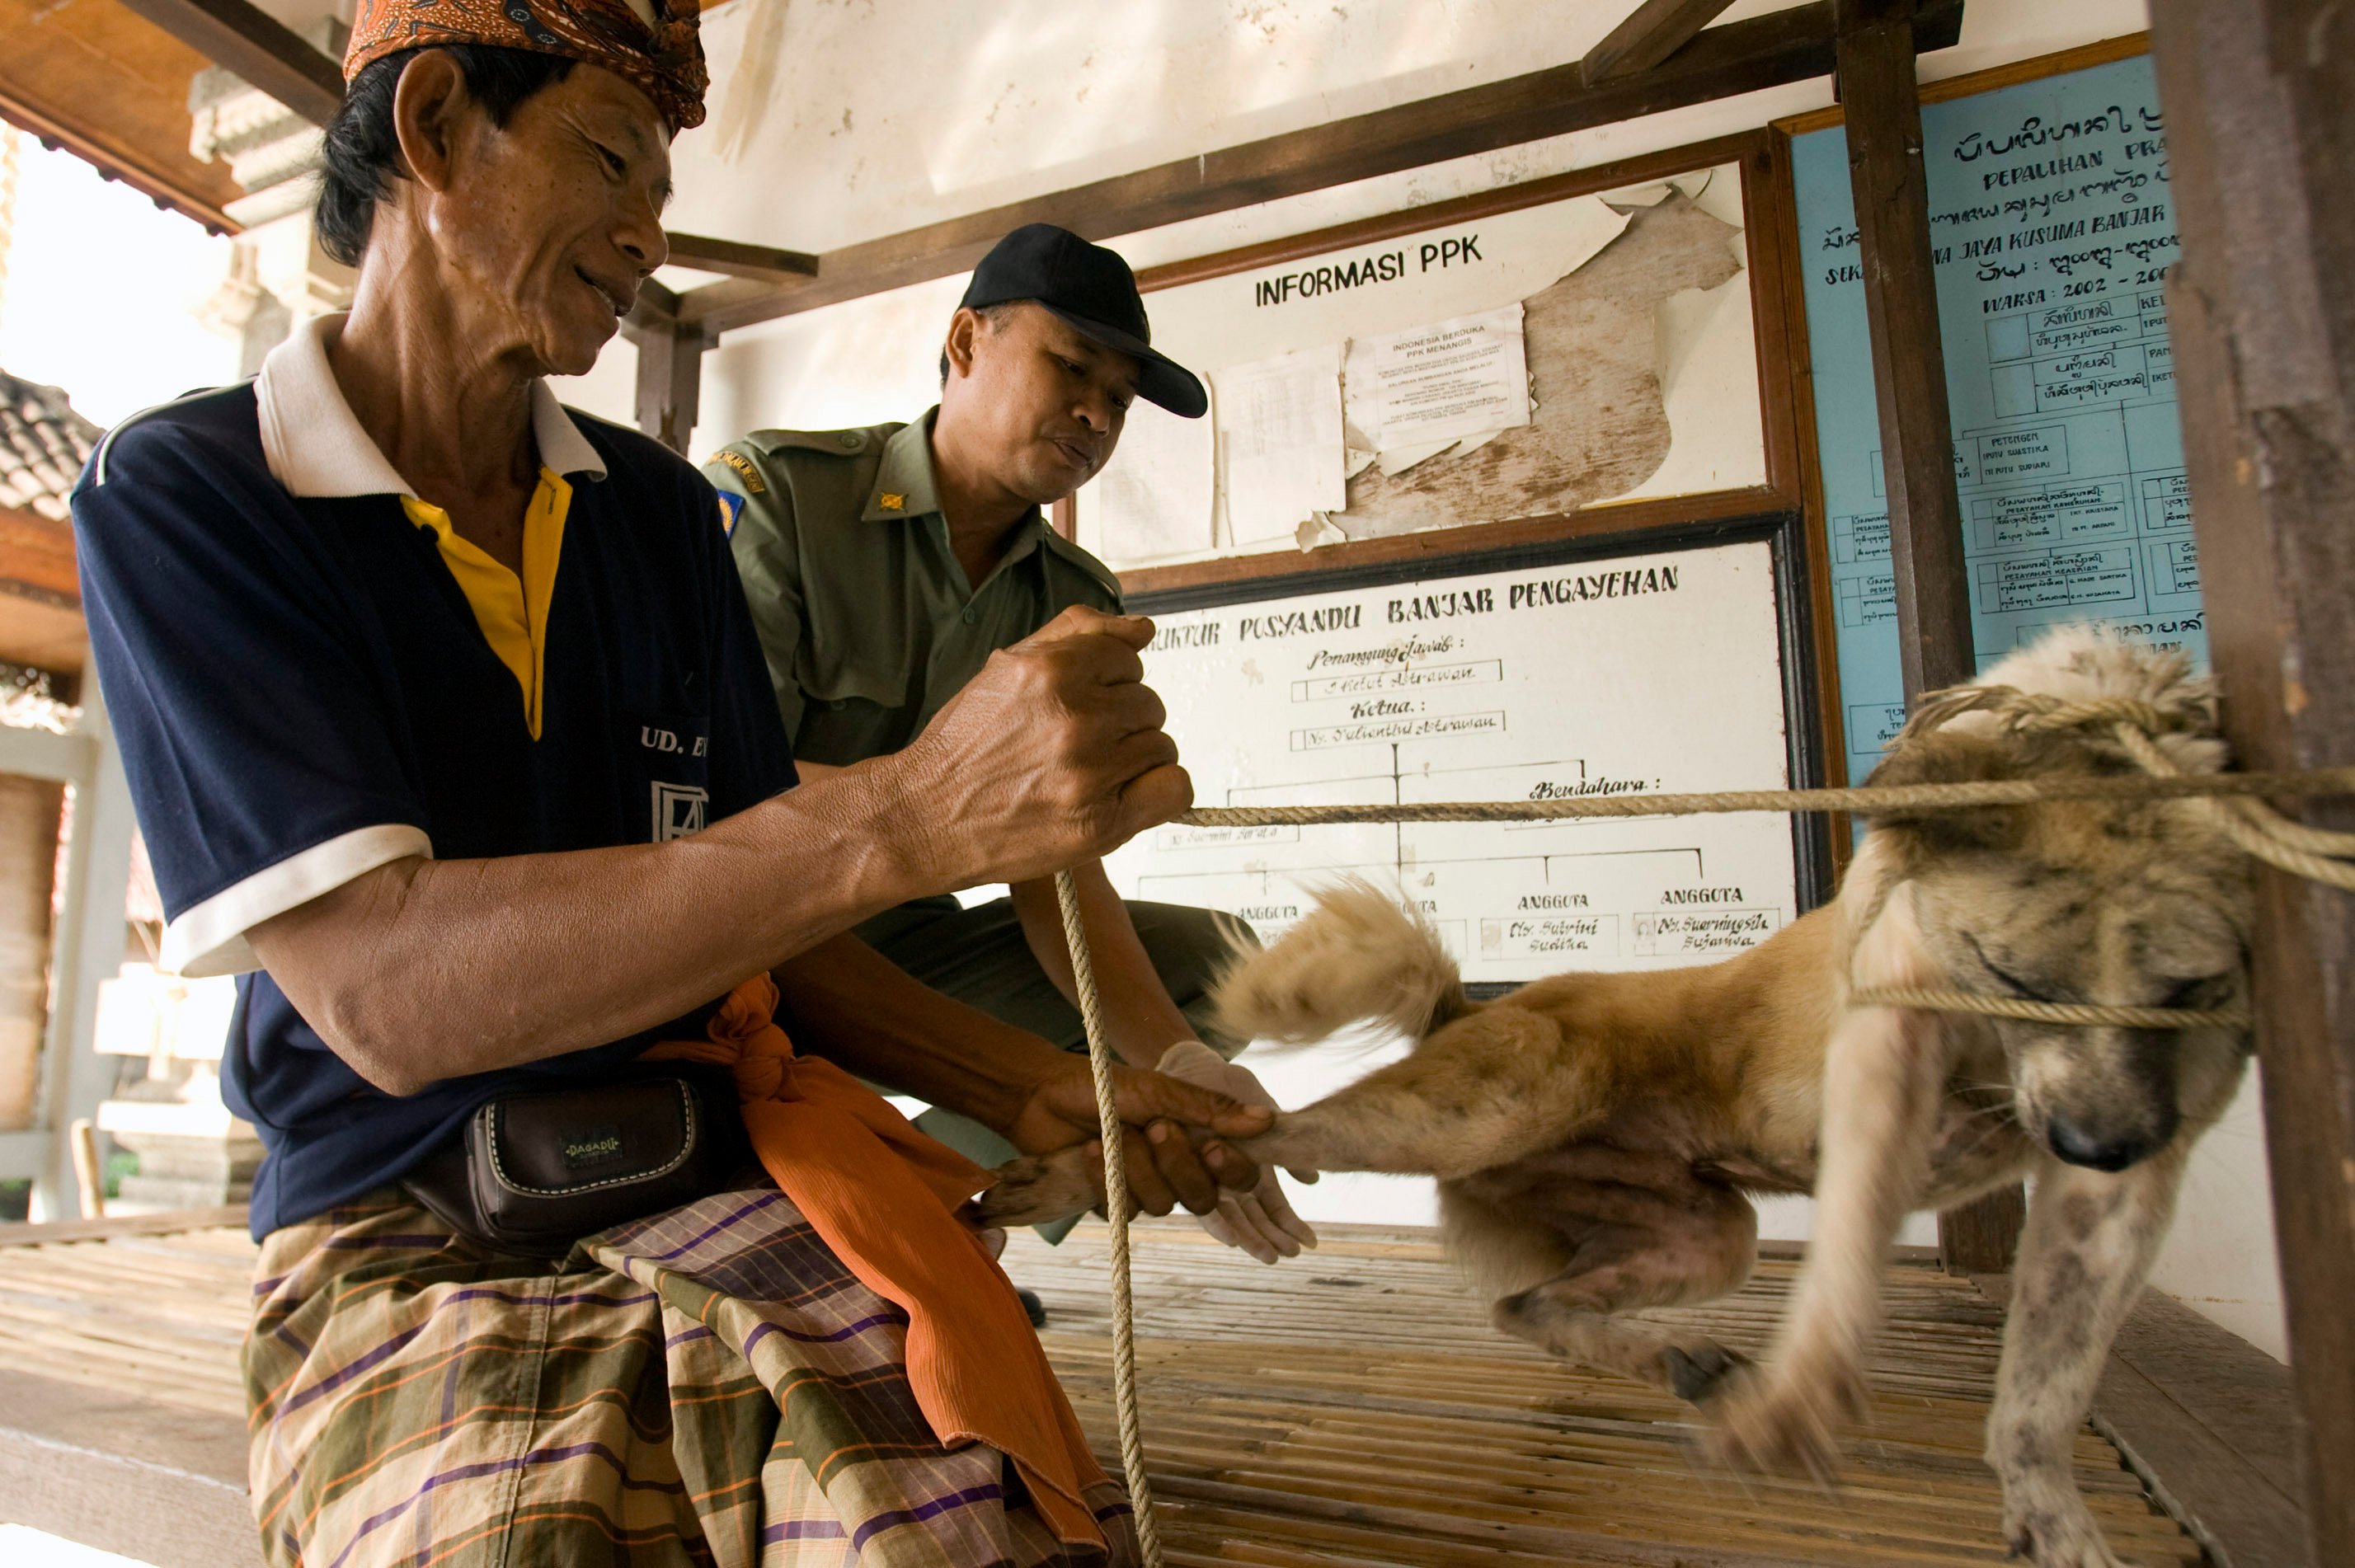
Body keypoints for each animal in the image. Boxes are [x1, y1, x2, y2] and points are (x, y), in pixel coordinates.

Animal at [980, 626, 2260, 1563]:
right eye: (2014, 976)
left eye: (2190, 988)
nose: (2095, 1140)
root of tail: (1464, 1008)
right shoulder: (1886, 1045)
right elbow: (1850, 1264)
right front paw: (1803, 1399)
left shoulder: (2131, 1171)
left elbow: (2044, 1388)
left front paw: (2055, 1523)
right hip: (1499, 1101)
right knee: (1271, 1127)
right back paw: (1063, 1170)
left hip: (1706, 1232)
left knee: (1524, 1305)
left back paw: (1676, 1362)